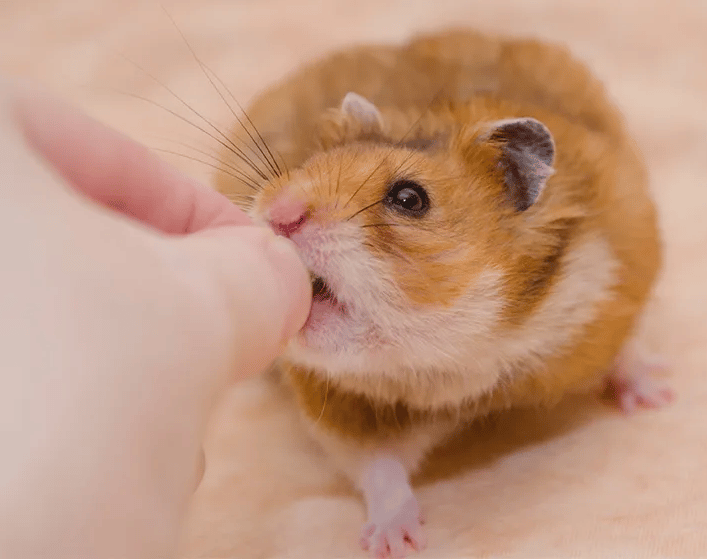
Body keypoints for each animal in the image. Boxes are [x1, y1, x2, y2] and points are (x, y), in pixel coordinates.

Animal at [213, 28, 672, 556]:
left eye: (410, 199)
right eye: (307, 162)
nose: (279, 213)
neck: (461, 350)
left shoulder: (609, 287)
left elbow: (625, 346)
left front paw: (660, 395)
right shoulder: (340, 405)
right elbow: (379, 468)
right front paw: (392, 543)